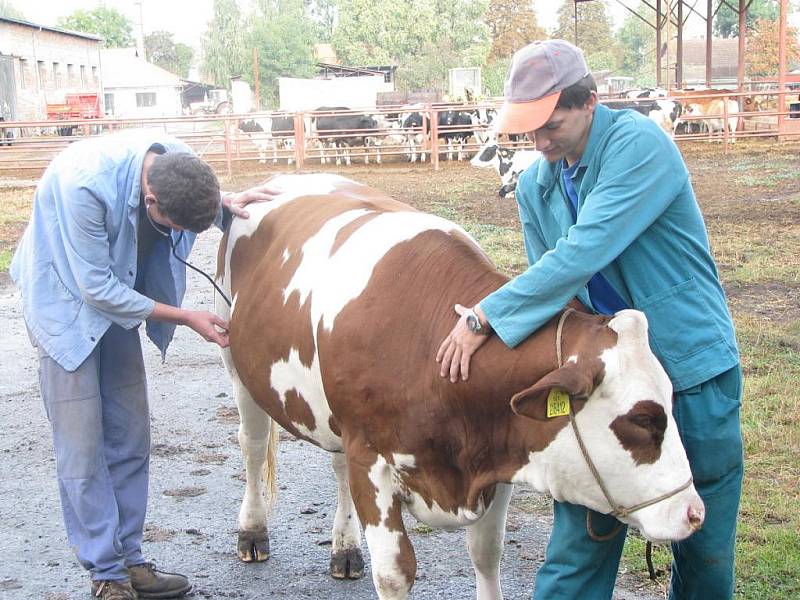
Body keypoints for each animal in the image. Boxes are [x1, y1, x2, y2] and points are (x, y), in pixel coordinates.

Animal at [214, 175, 708, 600]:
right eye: (643, 419)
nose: (695, 513)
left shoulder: (498, 455)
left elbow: (486, 555)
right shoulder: (371, 457)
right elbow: (395, 573)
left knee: (335, 466)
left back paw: (345, 548)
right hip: (236, 364)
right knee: (252, 444)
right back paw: (253, 532)